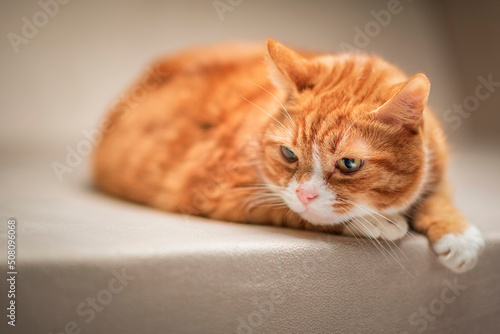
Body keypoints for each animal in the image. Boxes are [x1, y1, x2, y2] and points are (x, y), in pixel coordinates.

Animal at [93, 39, 484, 274]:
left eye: (349, 164)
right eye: (288, 153)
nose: (305, 194)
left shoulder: (438, 162)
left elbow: (439, 194)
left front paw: (458, 235)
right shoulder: (219, 191)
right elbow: (295, 212)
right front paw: (377, 222)